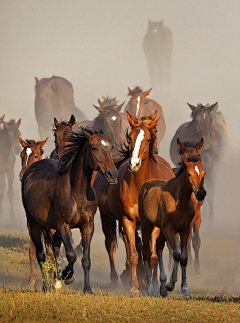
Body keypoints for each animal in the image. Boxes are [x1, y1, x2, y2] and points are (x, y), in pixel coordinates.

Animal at [21, 127, 117, 294]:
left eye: (110, 147)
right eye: (94, 148)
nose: (112, 174)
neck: (77, 192)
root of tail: (30, 170)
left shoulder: (87, 226)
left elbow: (86, 259)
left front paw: (87, 289)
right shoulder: (63, 225)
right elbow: (71, 255)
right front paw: (67, 275)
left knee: (54, 246)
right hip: (33, 223)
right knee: (41, 255)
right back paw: (47, 287)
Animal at [93, 111, 173, 294]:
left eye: (149, 138)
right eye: (130, 137)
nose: (134, 163)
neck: (140, 186)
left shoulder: (153, 225)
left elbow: (151, 255)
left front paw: (151, 284)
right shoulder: (127, 220)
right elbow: (134, 255)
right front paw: (135, 285)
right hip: (107, 217)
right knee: (111, 244)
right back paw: (116, 278)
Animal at [139, 154, 206, 298]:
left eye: (204, 173)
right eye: (189, 173)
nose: (201, 193)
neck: (179, 201)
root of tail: (146, 185)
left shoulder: (184, 230)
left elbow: (184, 258)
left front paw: (185, 290)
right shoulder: (169, 229)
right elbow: (176, 254)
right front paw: (170, 285)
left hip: (163, 231)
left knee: (158, 246)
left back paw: (162, 288)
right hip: (148, 226)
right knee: (146, 253)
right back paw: (150, 289)